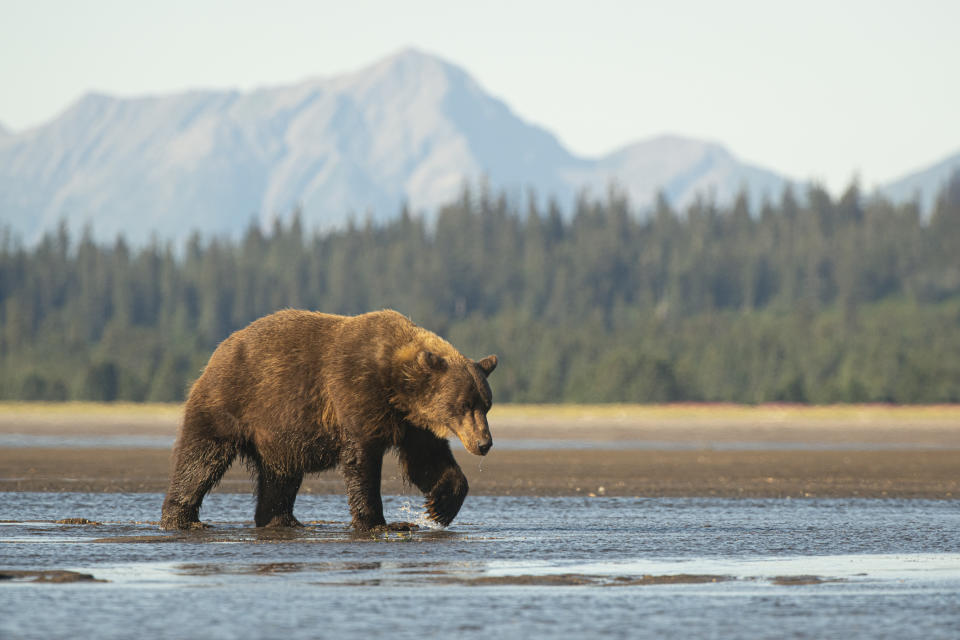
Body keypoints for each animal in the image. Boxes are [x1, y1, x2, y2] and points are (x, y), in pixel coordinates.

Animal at [158, 308, 498, 528]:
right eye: (464, 404)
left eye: (486, 404)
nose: (484, 443)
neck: (396, 385)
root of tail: (220, 350)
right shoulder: (356, 393)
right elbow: (362, 461)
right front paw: (379, 522)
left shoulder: (412, 423)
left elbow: (426, 460)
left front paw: (439, 506)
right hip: (232, 401)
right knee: (201, 459)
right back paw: (182, 519)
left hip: (278, 434)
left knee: (280, 476)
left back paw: (282, 519)